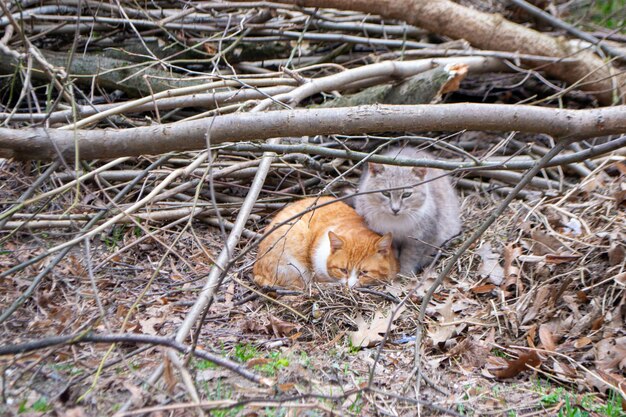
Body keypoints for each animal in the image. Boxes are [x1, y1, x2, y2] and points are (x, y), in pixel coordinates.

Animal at [354, 147, 460, 276]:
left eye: (406, 194)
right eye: (386, 193)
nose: (395, 209)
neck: (396, 224)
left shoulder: (419, 239)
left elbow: (410, 258)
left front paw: (404, 274)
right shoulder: (387, 238)